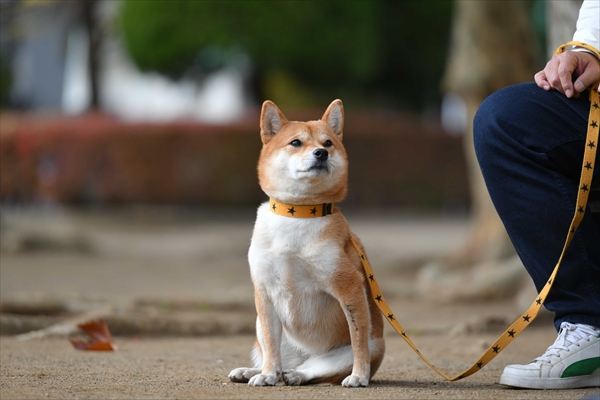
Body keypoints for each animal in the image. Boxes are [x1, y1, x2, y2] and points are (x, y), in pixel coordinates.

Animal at [227, 98, 386, 386]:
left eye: (328, 143)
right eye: (296, 142)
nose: (321, 154)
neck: (298, 213)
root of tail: (303, 358)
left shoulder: (349, 286)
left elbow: (358, 340)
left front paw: (359, 375)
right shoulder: (264, 292)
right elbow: (270, 344)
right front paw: (266, 374)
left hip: (356, 350)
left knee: (313, 369)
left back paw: (297, 375)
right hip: (260, 324)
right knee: (275, 356)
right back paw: (257, 371)